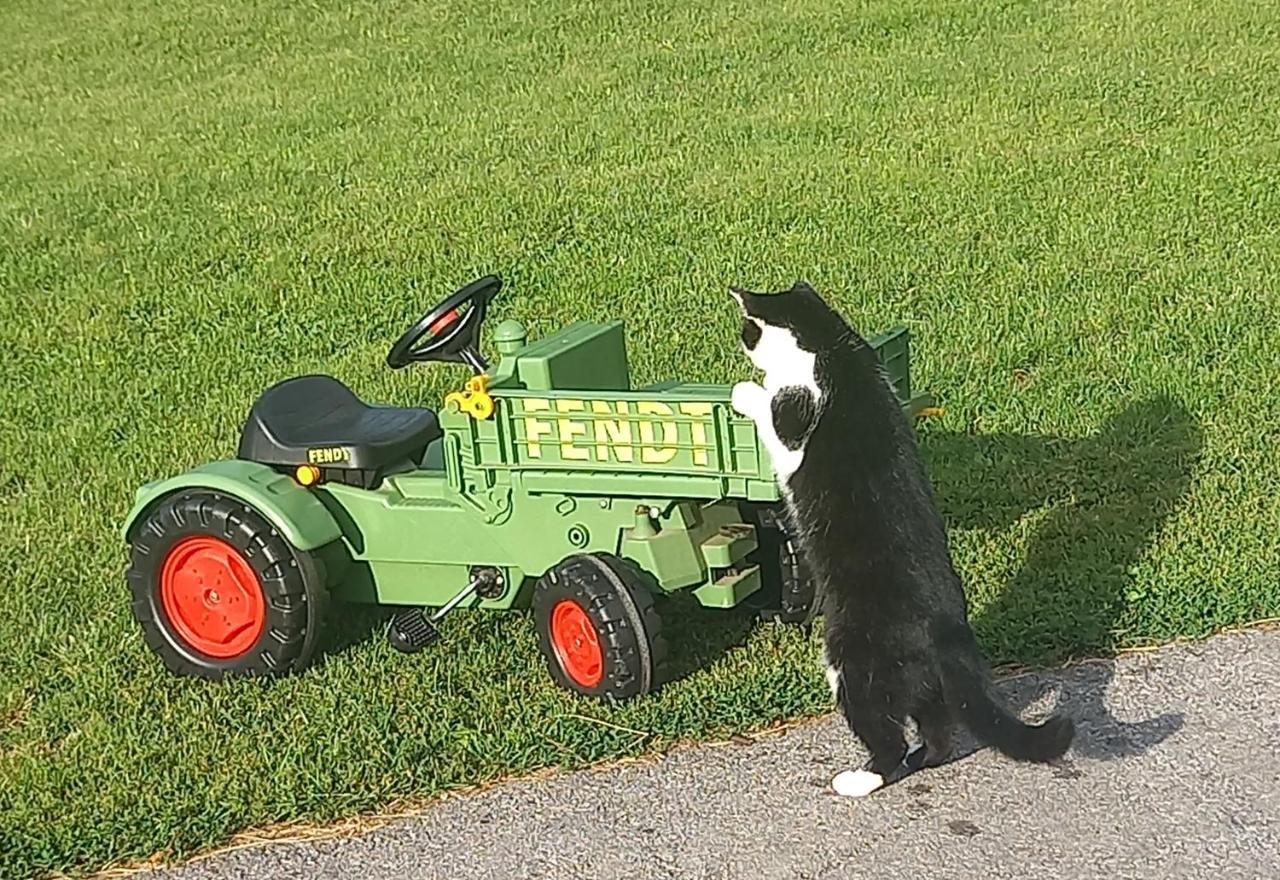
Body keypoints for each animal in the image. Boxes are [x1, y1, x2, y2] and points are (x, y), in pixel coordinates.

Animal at [727, 281, 1075, 798]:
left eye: (748, 330)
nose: (741, 342)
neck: (831, 348)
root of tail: (948, 631)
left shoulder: (794, 422)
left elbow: (772, 412)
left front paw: (745, 391)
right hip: (923, 686)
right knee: (938, 729)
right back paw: (921, 758)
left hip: (853, 663)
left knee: (886, 734)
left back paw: (861, 778)